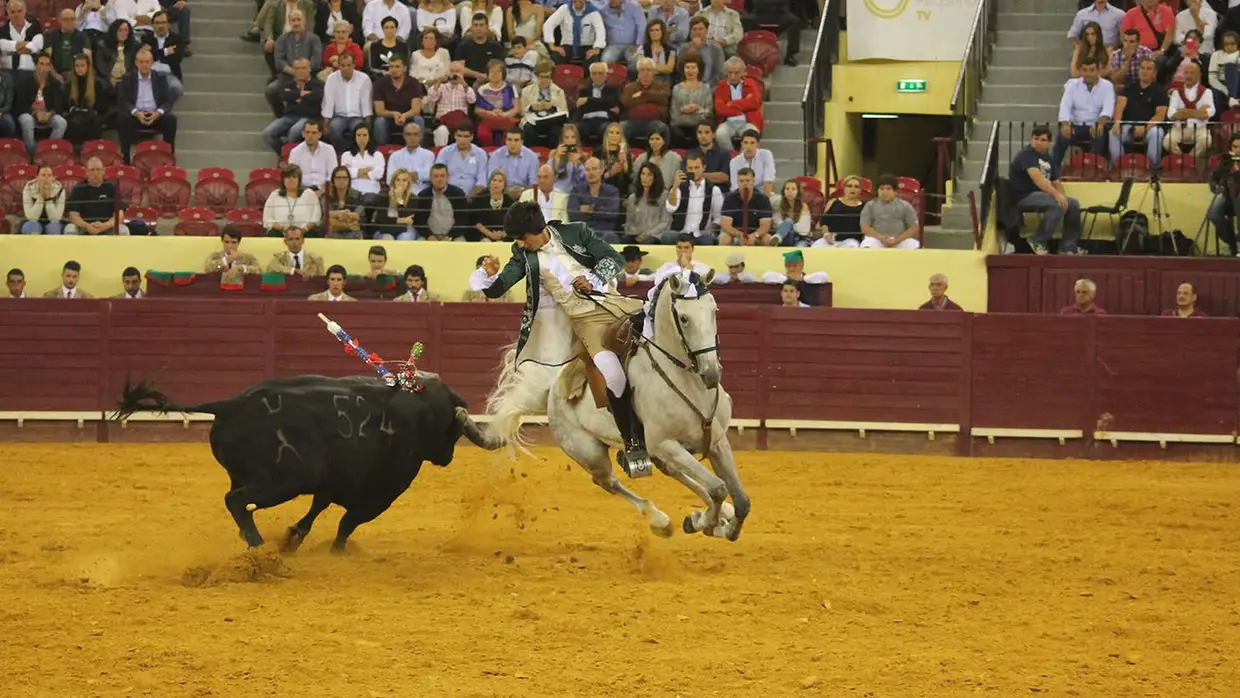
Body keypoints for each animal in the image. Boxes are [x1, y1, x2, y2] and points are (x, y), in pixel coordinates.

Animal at [112, 374, 503, 555]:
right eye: (452, 431)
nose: (447, 457)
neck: (422, 407)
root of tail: (229, 404)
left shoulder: (333, 483)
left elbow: (316, 510)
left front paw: (293, 538)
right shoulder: (380, 494)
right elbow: (347, 522)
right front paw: (336, 551)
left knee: (237, 500)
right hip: (282, 480)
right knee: (237, 500)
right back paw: (258, 546)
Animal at [486, 271, 748, 540]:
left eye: (714, 311)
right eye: (684, 318)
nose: (711, 373)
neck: (688, 384)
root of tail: (553, 386)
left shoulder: (717, 442)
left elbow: (740, 498)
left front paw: (723, 525)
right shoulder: (666, 444)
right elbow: (718, 488)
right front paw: (704, 523)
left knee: (671, 472)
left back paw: (719, 513)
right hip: (589, 452)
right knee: (607, 482)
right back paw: (660, 520)